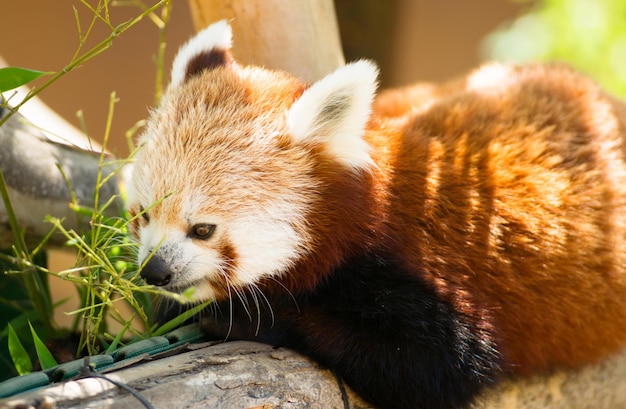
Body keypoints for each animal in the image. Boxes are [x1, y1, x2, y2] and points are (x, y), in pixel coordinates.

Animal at [124, 19, 624, 408]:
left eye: (203, 230)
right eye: (143, 215)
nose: (155, 271)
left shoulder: (426, 267)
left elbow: (439, 365)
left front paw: (243, 318)